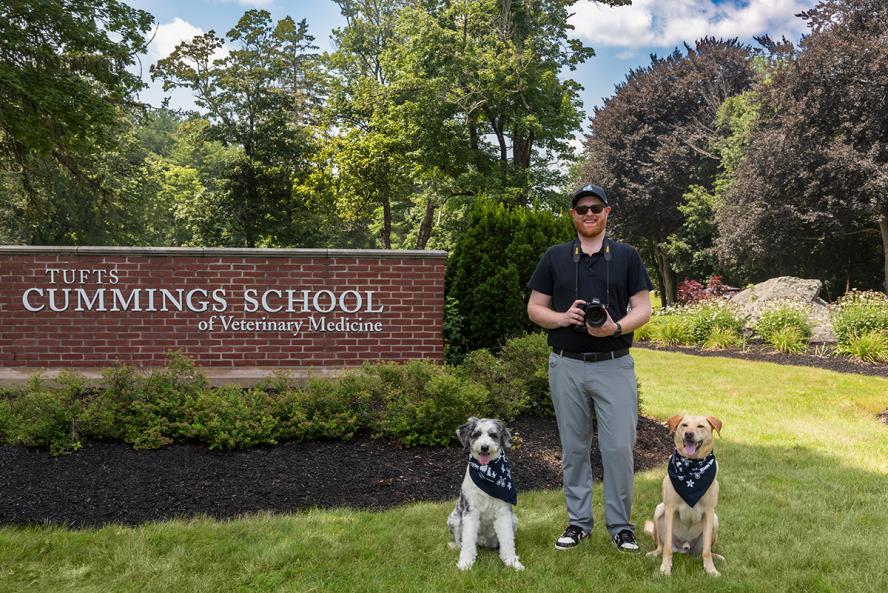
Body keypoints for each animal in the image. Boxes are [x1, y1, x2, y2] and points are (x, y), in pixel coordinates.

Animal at [448, 414, 524, 572]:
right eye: (476, 434)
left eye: (493, 435)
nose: (484, 447)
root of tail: (484, 542)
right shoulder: (471, 512)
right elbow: (468, 540)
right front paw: (465, 562)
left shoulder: (503, 513)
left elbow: (507, 540)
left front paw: (511, 561)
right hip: (454, 519)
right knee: (460, 540)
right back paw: (454, 546)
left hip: (514, 520)